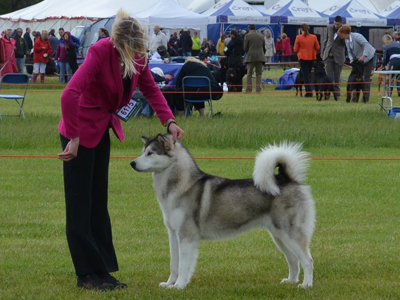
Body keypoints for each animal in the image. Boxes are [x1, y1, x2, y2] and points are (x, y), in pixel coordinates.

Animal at [131, 135, 316, 290]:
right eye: (143, 152)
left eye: (150, 153)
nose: (132, 163)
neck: (179, 186)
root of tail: (286, 178)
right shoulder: (173, 234)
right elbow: (174, 264)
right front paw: (169, 284)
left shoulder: (187, 236)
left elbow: (183, 266)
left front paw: (179, 286)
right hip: (279, 236)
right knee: (293, 260)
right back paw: (291, 281)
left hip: (290, 234)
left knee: (308, 260)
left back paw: (306, 285)